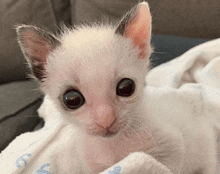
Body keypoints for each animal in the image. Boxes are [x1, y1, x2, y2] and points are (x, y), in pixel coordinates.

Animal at [16, 1, 219, 174]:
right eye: (72, 99)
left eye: (126, 87)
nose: (105, 119)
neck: (114, 148)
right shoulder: (95, 167)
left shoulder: (172, 147)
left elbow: (166, 167)